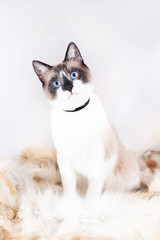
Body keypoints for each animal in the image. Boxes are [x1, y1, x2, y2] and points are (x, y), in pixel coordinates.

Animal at [32, 42, 140, 198]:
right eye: (56, 83)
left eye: (74, 75)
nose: (68, 87)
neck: (76, 114)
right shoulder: (65, 160)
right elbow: (69, 190)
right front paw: (69, 204)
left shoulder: (98, 159)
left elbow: (92, 194)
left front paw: (89, 205)